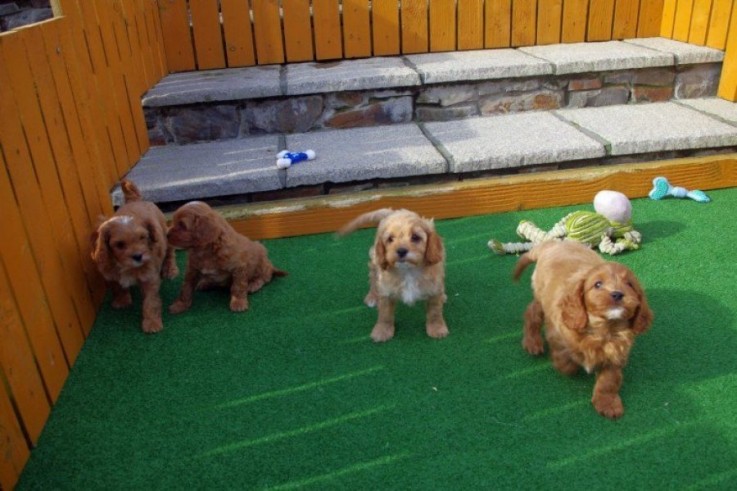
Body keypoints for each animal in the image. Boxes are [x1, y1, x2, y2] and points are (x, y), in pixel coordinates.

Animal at [340, 209, 448, 344]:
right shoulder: (386, 291)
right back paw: (372, 296)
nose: (401, 251)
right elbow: (385, 314)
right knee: (373, 277)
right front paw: (382, 331)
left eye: (415, 237)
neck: (408, 271)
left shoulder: (434, 289)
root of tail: (393, 212)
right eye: (390, 239)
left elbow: (435, 312)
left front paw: (437, 328)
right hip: (375, 261)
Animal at [512, 241, 648, 418]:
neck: (604, 329)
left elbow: (609, 381)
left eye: (629, 284)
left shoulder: (616, 354)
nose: (617, 294)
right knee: (532, 313)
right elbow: (566, 361)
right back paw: (532, 342)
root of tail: (552, 244)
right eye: (597, 284)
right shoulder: (558, 334)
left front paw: (607, 403)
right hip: (541, 297)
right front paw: (576, 364)